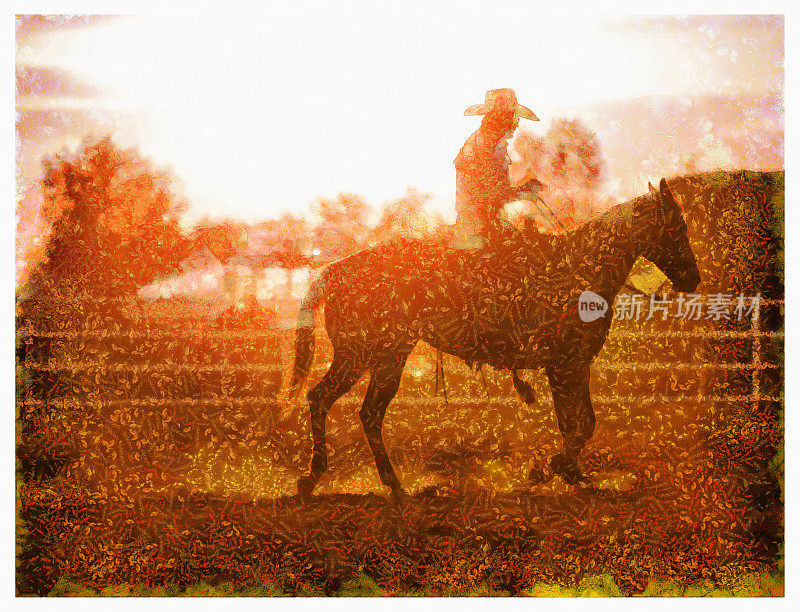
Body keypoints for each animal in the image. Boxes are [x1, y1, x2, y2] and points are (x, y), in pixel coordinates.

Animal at [288, 176, 700, 498]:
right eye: (676, 227)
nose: (692, 279)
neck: (577, 269)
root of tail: (335, 271)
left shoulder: (572, 364)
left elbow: (580, 424)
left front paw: (571, 474)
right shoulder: (564, 365)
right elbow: (579, 425)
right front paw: (548, 470)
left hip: (382, 358)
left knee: (357, 409)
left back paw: (386, 485)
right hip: (363, 356)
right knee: (333, 402)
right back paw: (321, 478)